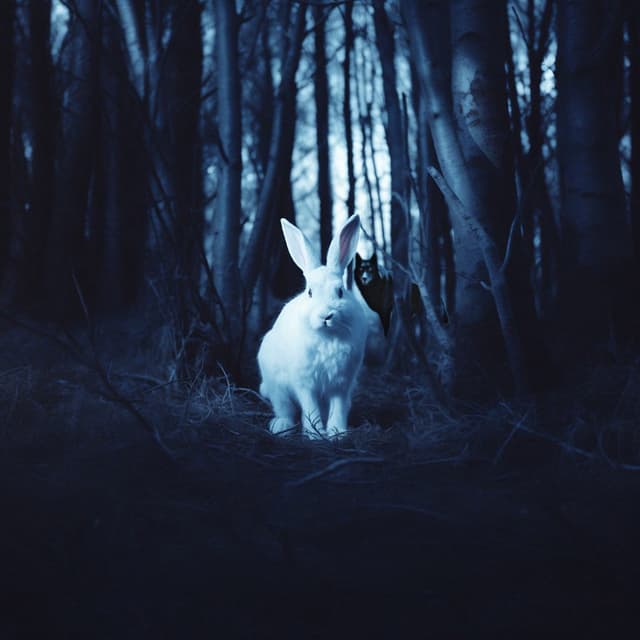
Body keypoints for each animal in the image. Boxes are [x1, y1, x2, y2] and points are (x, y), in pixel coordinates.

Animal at [257, 214, 367, 438]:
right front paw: (315, 434)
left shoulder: (341, 384)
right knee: (284, 409)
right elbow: (310, 407)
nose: (326, 315)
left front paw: (337, 433)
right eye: (309, 292)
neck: (327, 335)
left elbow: (338, 408)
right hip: (278, 388)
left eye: (340, 291)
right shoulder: (305, 383)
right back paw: (281, 426)